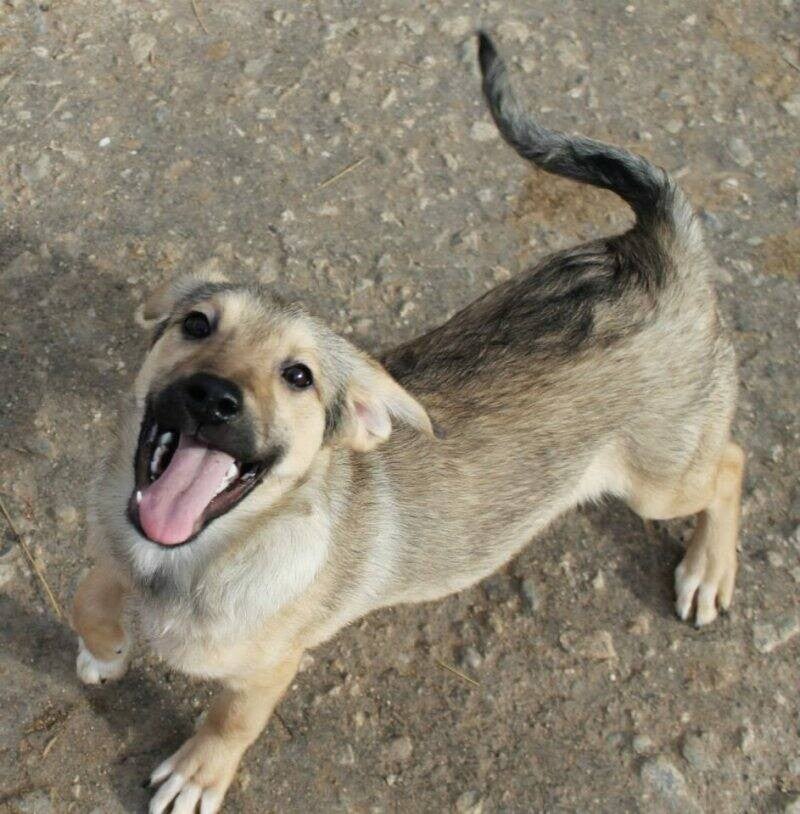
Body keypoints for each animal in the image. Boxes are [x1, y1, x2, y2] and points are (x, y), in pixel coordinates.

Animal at [71, 33, 743, 813]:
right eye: (197, 324)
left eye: (298, 376)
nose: (213, 398)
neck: (181, 563)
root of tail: (662, 254)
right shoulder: (111, 548)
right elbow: (90, 595)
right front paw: (105, 651)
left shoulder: (270, 666)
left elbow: (230, 718)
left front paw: (197, 774)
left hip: (660, 478)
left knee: (730, 465)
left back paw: (707, 570)